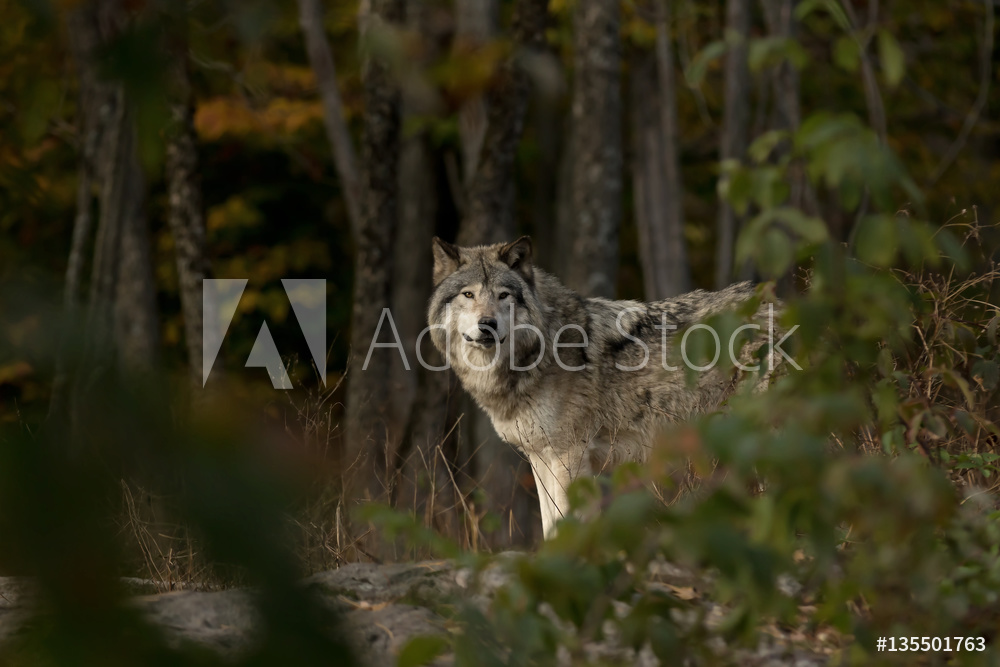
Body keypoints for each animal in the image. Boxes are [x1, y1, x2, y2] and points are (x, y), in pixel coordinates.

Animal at [426, 235, 776, 536]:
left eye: (503, 295)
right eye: (468, 294)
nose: (487, 324)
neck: (541, 349)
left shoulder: (568, 456)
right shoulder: (540, 458)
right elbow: (549, 525)